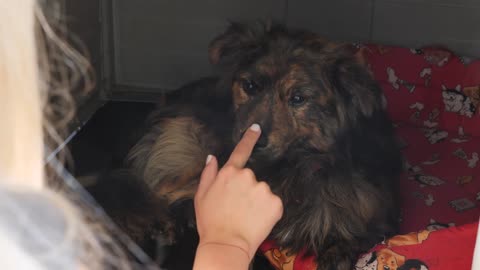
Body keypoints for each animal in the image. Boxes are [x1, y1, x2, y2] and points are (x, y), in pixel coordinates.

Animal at [103, 22, 404, 268]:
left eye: (298, 98)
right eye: (250, 86)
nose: (254, 139)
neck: (295, 167)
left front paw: (337, 253)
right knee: (155, 187)